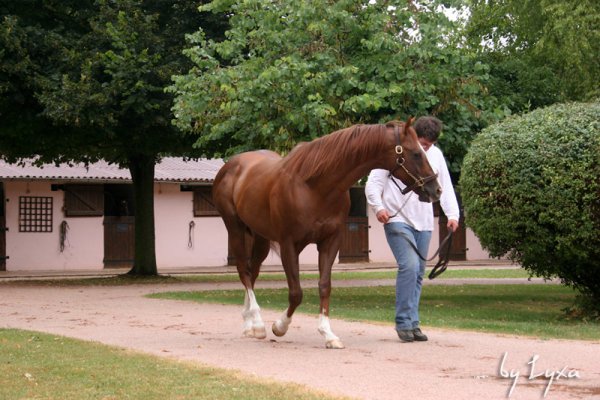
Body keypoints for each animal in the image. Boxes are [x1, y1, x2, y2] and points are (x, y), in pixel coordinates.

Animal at [211, 118, 440, 346]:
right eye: (416, 153)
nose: (436, 189)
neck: (315, 186)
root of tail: (232, 165)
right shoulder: (288, 244)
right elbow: (296, 293)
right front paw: (280, 326)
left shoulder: (330, 242)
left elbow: (324, 285)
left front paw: (328, 334)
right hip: (235, 229)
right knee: (244, 270)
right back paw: (257, 324)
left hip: (261, 237)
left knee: (253, 272)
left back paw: (249, 322)